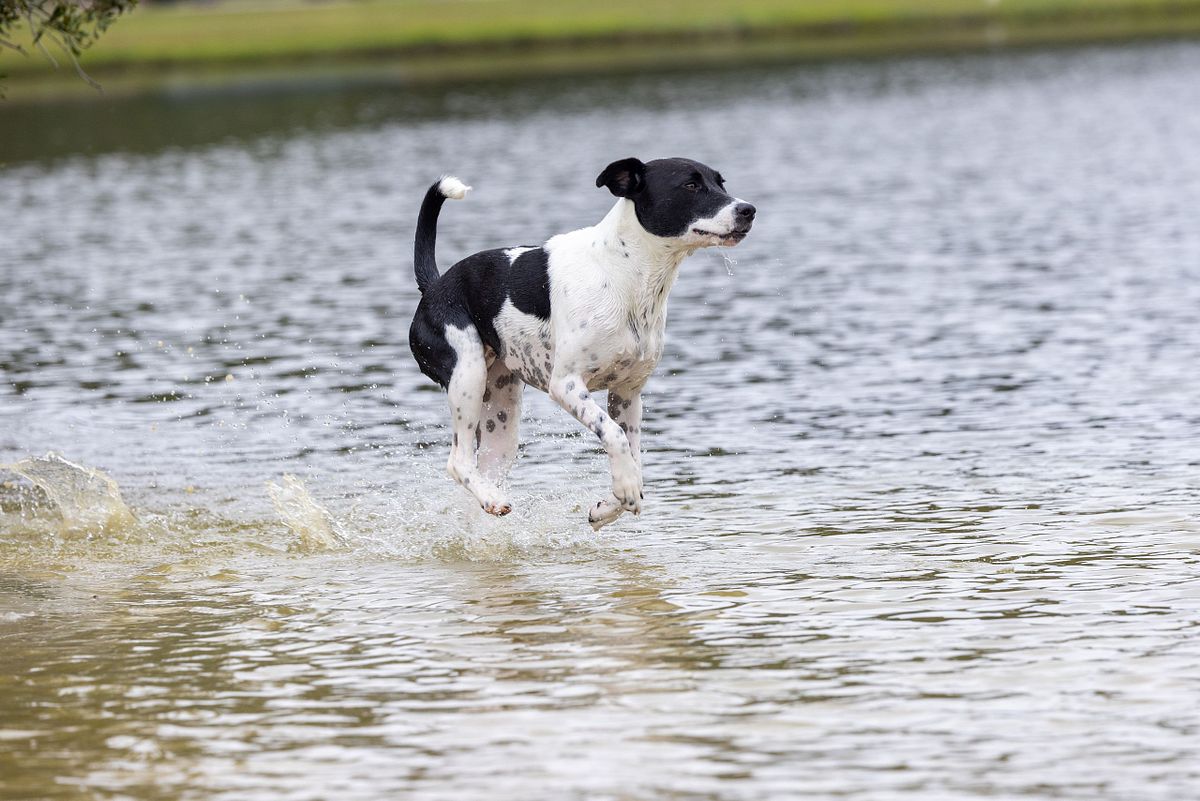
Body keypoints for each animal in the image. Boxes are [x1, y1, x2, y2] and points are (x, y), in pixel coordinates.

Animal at [408, 157, 755, 529]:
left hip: (500, 419)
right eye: (691, 185)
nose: (748, 210)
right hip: (467, 375)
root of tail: (433, 287)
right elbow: (615, 436)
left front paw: (610, 505)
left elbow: (632, 456)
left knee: (480, 470)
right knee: (457, 461)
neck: (623, 273)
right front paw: (625, 488)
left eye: (720, 183)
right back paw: (493, 498)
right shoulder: (566, 385)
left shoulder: (627, 393)